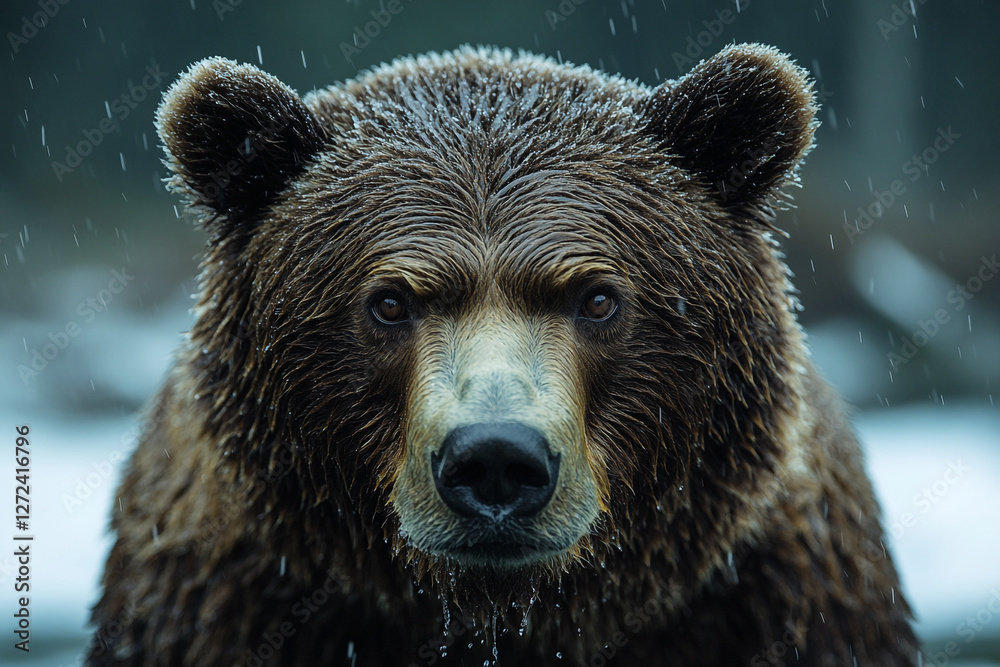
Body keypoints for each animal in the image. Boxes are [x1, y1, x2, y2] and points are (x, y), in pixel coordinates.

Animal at [88, 43, 919, 666]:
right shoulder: (220, 599)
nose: (495, 457)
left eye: (597, 298)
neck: (503, 616)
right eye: (389, 302)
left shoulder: (777, 600)